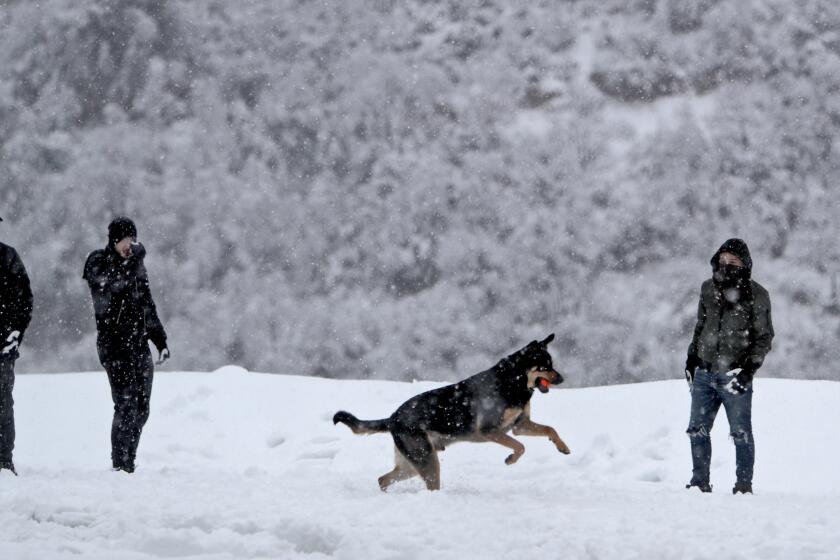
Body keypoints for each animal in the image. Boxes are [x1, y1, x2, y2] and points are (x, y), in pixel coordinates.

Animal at [332, 332, 568, 490]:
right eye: (545, 366)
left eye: (551, 364)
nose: (562, 379)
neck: (513, 380)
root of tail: (392, 419)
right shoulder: (490, 431)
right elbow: (520, 446)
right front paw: (511, 459)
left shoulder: (520, 425)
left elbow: (550, 429)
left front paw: (562, 447)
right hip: (426, 460)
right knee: (424, 484)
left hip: (412, 463)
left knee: (382, 479)